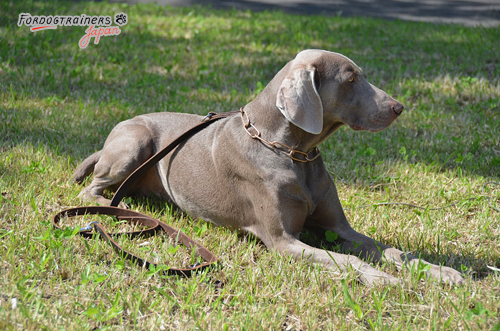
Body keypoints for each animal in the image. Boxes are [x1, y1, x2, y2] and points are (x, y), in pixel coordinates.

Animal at [73, 49, 464, 286]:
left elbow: (392, 251)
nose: (398, 107)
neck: (294, 152)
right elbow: (349, 261)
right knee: (91, 190)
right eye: (351, 79)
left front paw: (442, 272)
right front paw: (385, 279)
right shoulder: (282, 241)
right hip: (134, 144)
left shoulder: (338, 228)